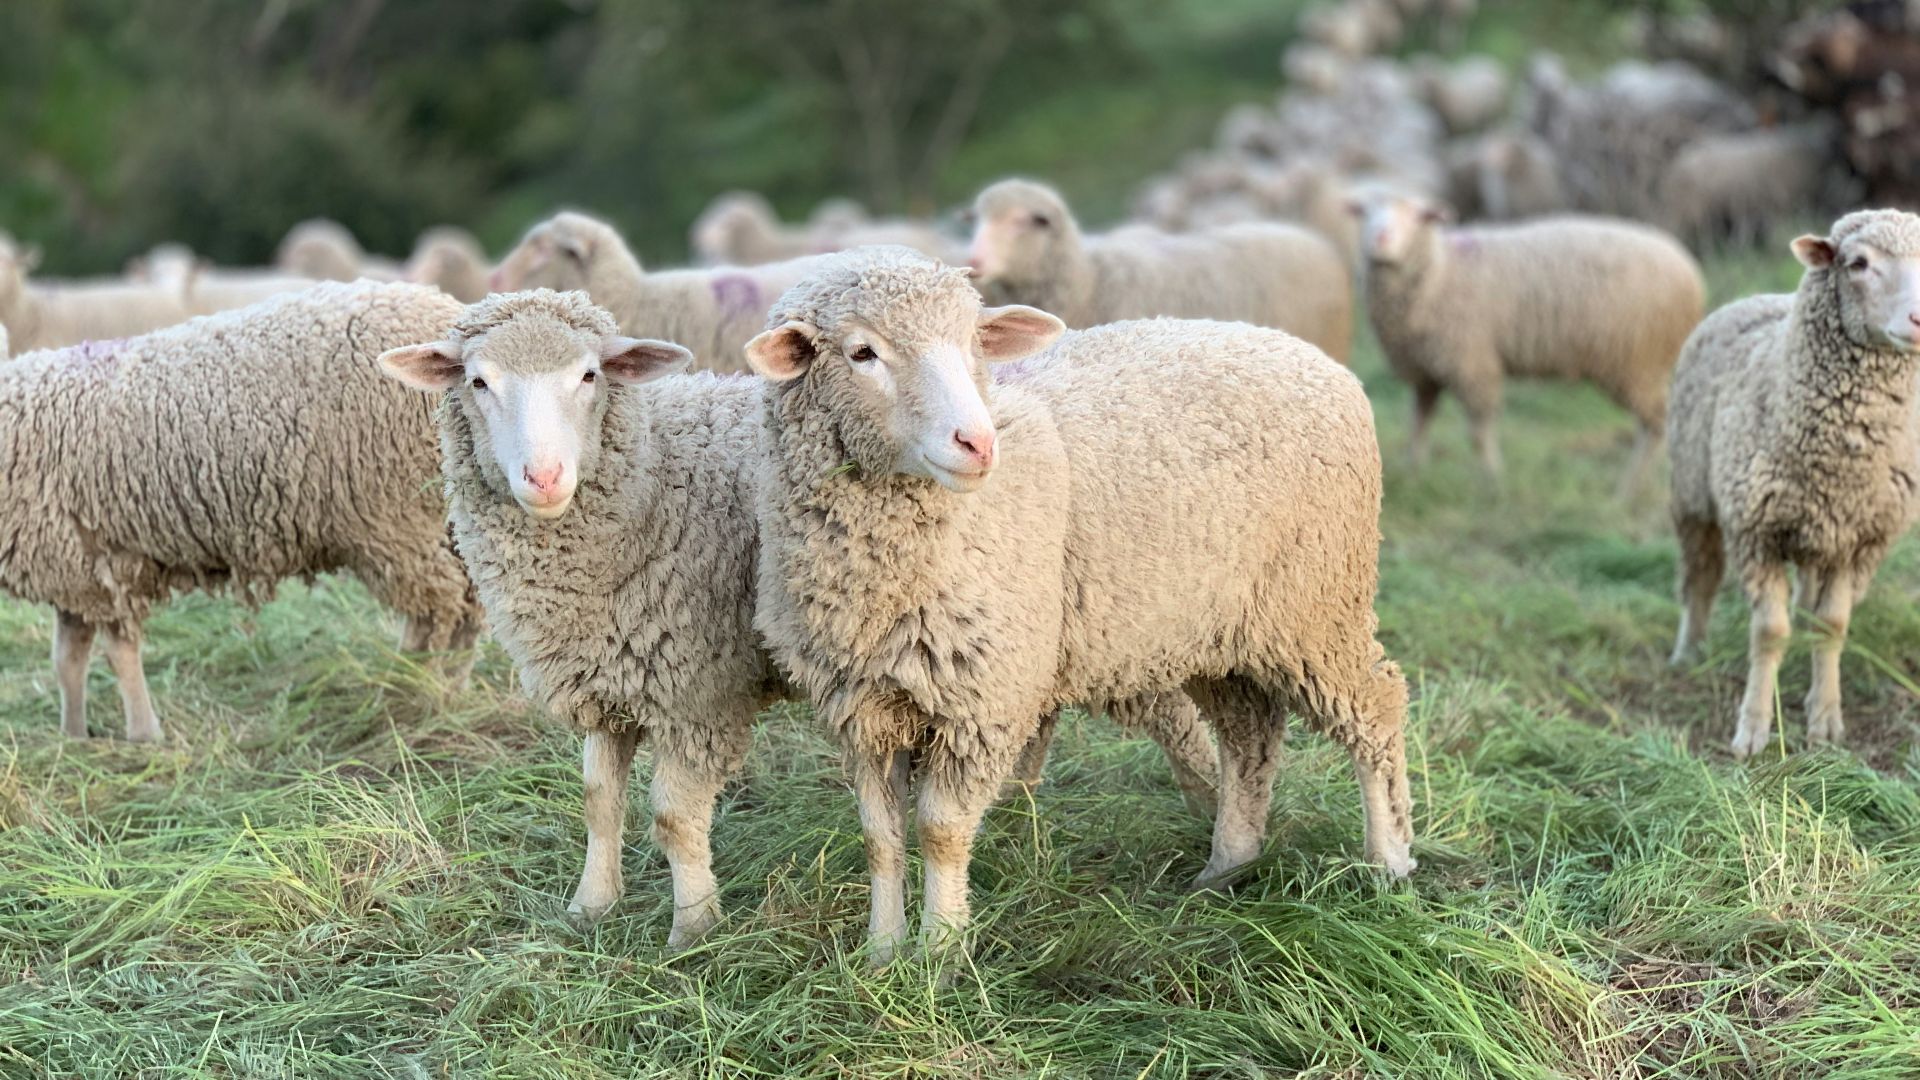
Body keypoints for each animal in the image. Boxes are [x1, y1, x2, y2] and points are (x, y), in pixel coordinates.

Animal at [0, 281, 483, 743]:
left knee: (437, 610)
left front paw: (142, 735)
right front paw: (73, 737)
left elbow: (118, 655)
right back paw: (446, 686)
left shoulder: (103, 567)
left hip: (396, 519)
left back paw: (411, 687)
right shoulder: (73, 569)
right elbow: (67, 661)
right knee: (468, 603)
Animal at [378, 289, 1219, 948]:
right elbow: (597, 799)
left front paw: (693, 929)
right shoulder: (607, 677)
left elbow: (673, 817)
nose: (545, 477)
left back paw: (1213, 830)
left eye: (589, 376)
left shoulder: (697, 690)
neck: (651, 481)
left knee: (1181, 724)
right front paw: (591, 906)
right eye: (478, 381)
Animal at [747, 247, 1413, 960]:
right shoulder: (862, 706)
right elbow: (880, 837)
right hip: (1219, 627)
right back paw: (1227, 866)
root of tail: (1314, 358)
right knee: (1249, 736)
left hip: (1317, 605)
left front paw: (941, 953)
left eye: (974, 343)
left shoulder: (984, 699)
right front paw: (881, 952)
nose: (977, 443)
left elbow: (941, 832)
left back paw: (1389, 863)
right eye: (862, 353)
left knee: (1375, 707)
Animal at [1350, 193, 1704, 490]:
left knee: (1656, 424)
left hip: (1636, 362)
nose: (1380, 238)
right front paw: (1414, 473)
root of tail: (1690, 271)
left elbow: (1479, 432)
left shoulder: (1472, 363)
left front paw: (1492, 480)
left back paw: (1628, 489)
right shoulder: (1425, 372)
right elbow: (1418, 424)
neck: (1439, 272)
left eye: (1418, 216)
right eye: (1366, 213)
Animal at [1667, 210, 1920, 758]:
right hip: (1691, 495)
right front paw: (1753, 728)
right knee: (1699, 578)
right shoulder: (1755, 531)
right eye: (1858, 263)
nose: (1919, 319)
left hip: (1817, 533)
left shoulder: (1856, 538)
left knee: (1807, 599)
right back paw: (1688, 651)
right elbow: (1769, 631)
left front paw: (1825, 718)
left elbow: (1832, 625)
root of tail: (1758, 296)